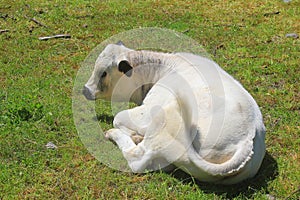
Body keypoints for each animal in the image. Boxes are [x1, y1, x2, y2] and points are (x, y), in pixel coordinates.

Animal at [83, 42, 266, 184]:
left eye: (104, 73)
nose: (85, 90)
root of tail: (247, 140)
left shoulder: (149, 108)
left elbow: (118, 118)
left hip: (165, 124)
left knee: (136, 158)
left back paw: (115, 135)